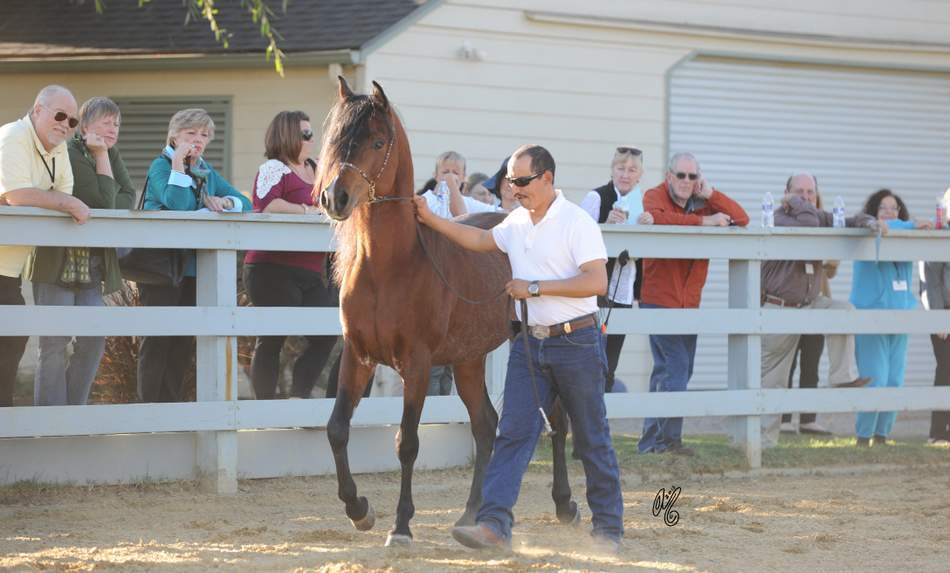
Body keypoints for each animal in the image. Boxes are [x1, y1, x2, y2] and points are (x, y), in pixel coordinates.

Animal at [317, 77, 578, 546]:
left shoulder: (417, 364)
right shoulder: (357, 357)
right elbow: (337, 428)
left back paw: (565, 504)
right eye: (336, 140)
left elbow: (407, 443)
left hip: (530, 350)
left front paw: (401, 526)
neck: (389, 267)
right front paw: (359, 509)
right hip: (468, 360)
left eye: (377, 141)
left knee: (557, 420)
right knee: (486, 425)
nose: (335, 198)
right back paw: (469, 514)